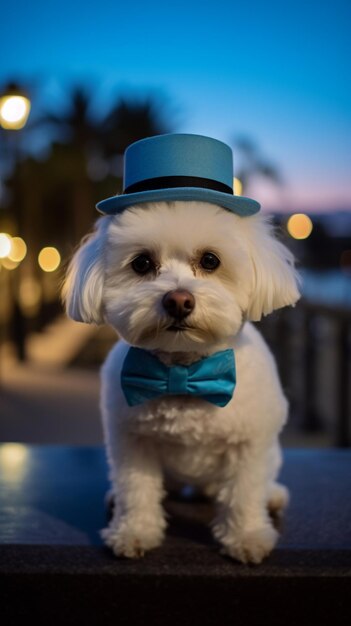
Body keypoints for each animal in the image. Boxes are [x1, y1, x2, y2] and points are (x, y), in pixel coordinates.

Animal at [63, 197, 300, 564]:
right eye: (142, 263)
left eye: (210, 260)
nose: (178, 300)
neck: (183, 372)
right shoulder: (132, 442)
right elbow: (137, 489)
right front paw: (134, 532)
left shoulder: (250, 446)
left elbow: (244, 493)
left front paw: (246, 537)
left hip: (270, 454)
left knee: (259, 482)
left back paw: (272, 494)